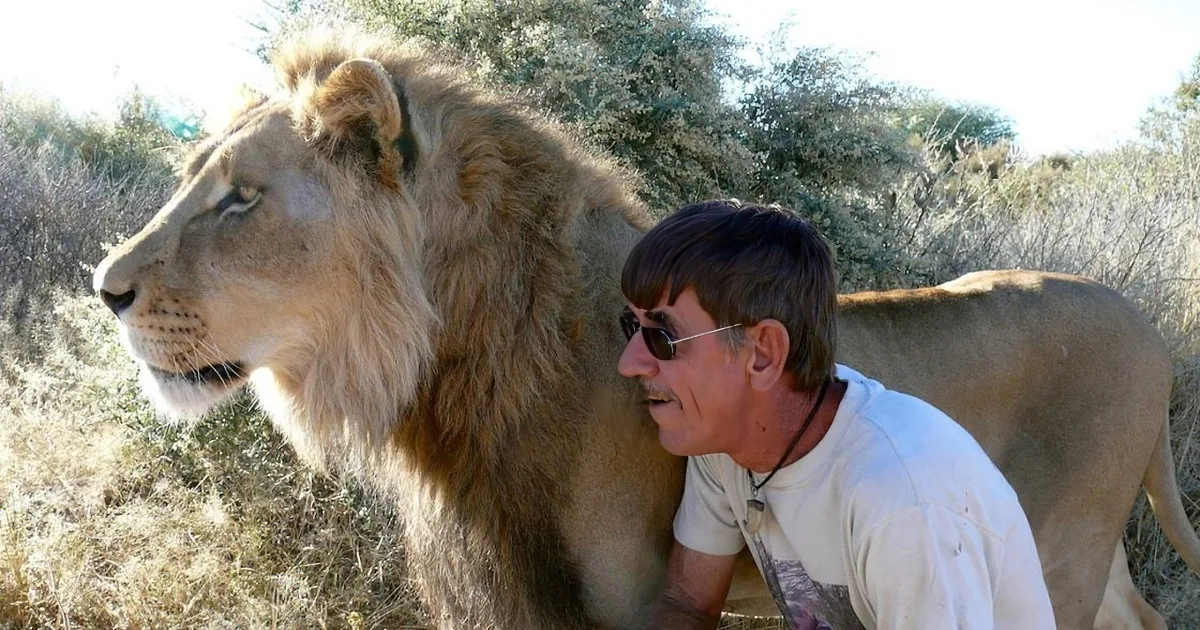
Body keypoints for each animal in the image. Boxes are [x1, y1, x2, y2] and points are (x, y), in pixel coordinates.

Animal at [92, 32, 1199, 628]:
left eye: (241, 199)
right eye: (196, 178)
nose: (103, 288)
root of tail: (1148, 328)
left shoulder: (624, 596)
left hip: (1058, 551)